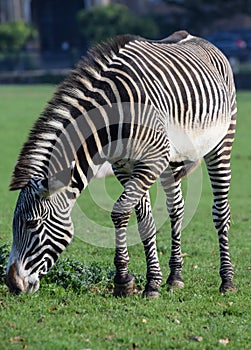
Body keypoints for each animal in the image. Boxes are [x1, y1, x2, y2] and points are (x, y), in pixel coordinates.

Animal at [6, 31, 237, 296]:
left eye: (32, 224)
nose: (12, 284)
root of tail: (194, 36)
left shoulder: (151, 161)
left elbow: (119, 211)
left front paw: (129, 280)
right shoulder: (125, 166)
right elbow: (143, 221)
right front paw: (144, 281)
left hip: (222, 142)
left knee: (221, 211)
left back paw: (227, 280)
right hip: (173, 159)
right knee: (176, 209)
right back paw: (175, 276)